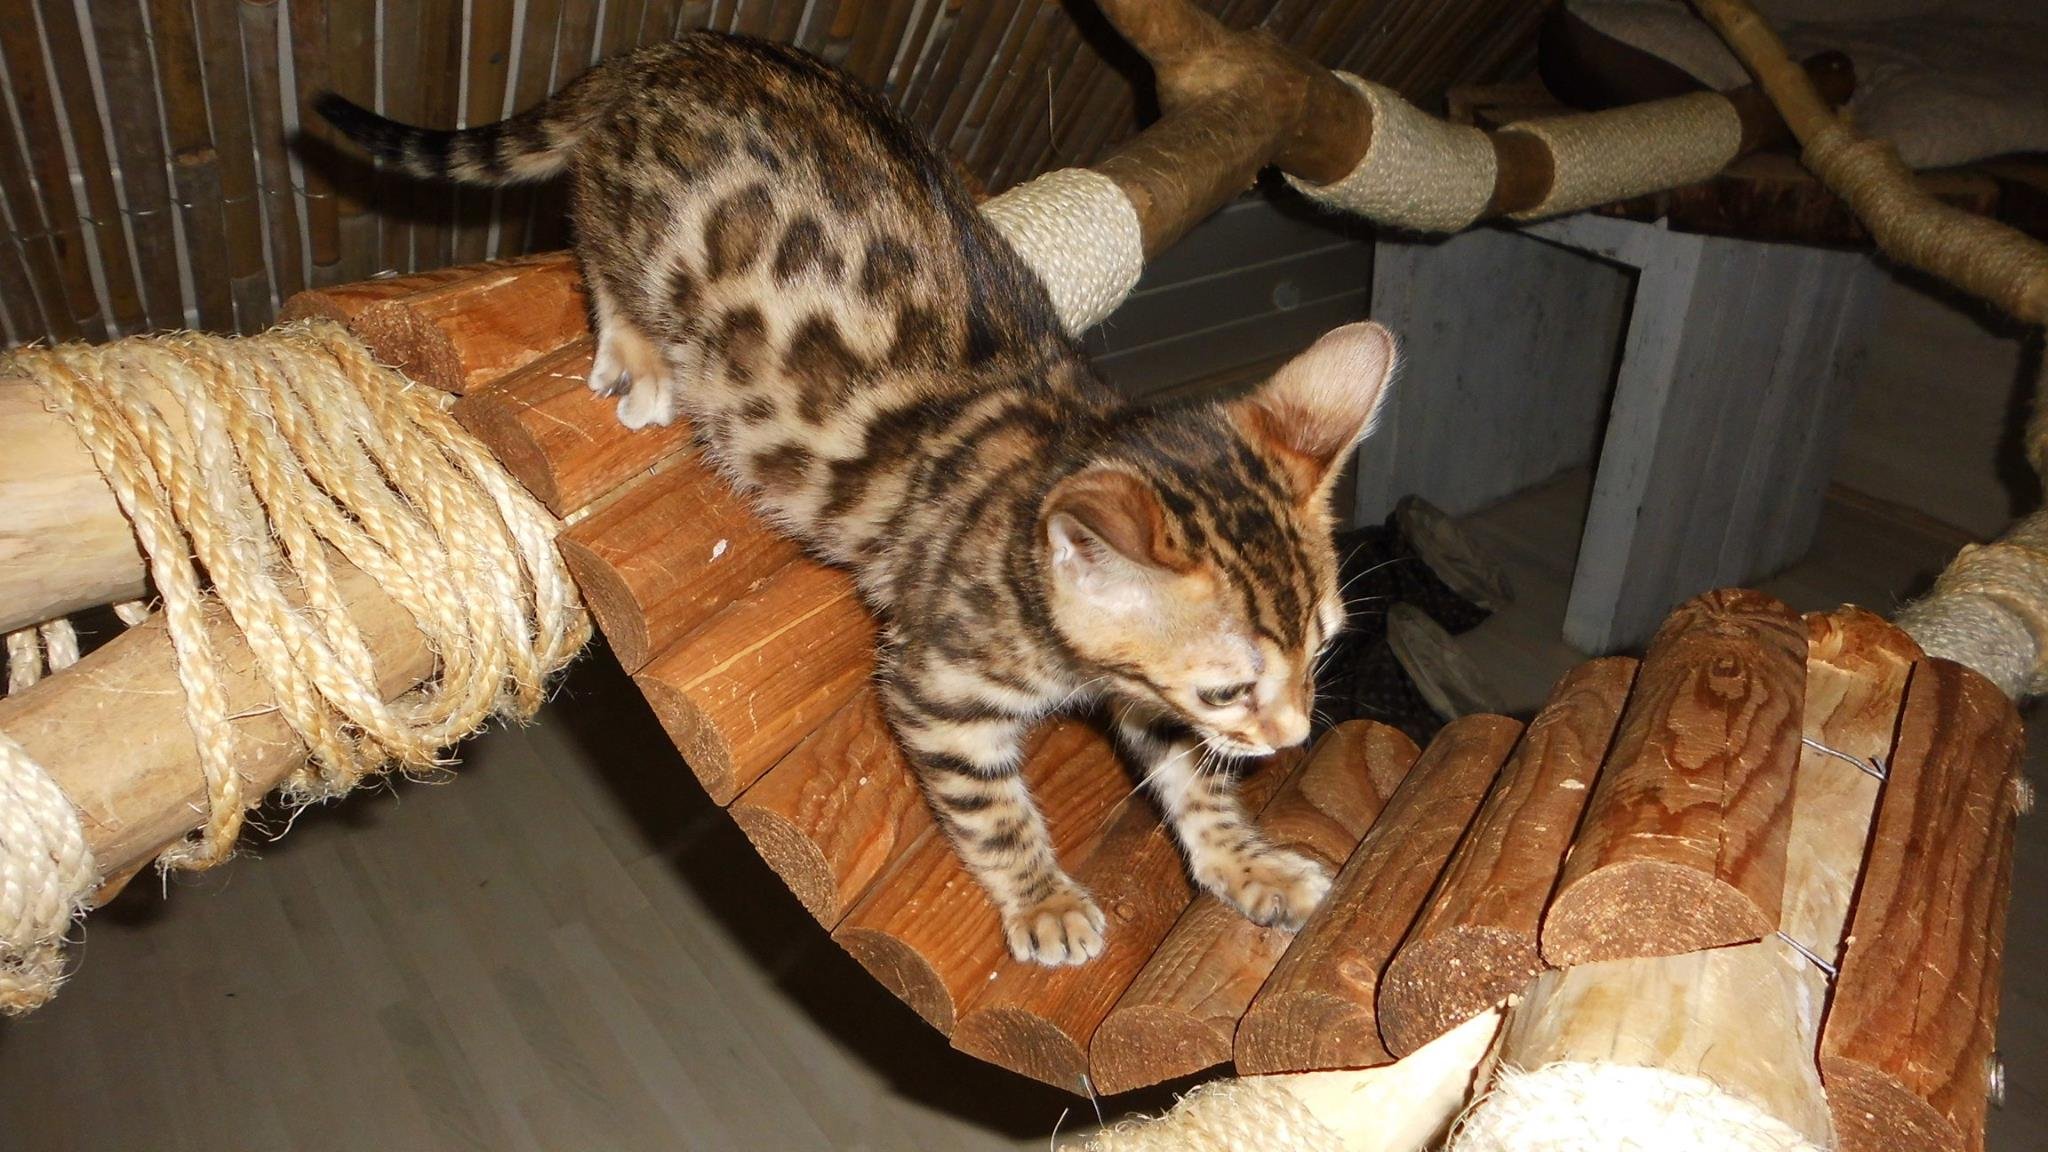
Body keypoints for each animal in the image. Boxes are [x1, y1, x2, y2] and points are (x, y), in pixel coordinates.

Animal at [315, 31, 1397, 967]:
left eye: (1322, 652)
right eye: (1228, 689)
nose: (1291, 739)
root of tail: (675, 48)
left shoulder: (1142, 696)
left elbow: (1192, 782)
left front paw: (1246, 866)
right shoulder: (936, 690)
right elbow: (994, 811)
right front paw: (1042, 899)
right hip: (638, 229)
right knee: (587, 236)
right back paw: (637, 353)